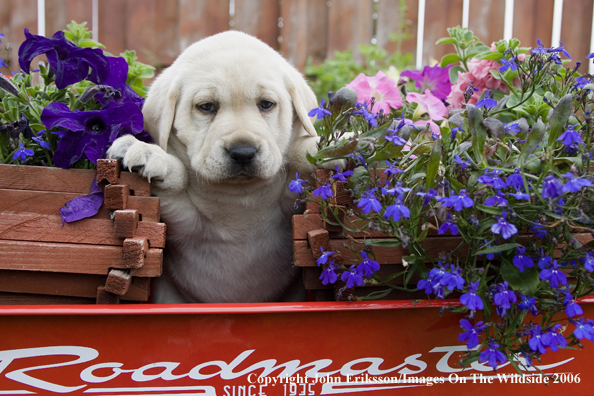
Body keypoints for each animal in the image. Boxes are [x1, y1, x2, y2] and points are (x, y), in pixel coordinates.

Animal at [106, 31, 320, 304]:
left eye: (266, 104)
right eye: (206, 106)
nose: (243, 152)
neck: (239, 200)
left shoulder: (290, 211)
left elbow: (299, 159)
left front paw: (331, 145)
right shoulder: (184, 223)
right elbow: (175, 188)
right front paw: (148, 151)